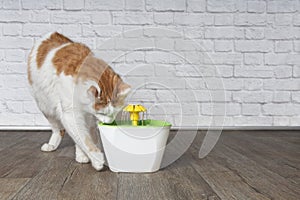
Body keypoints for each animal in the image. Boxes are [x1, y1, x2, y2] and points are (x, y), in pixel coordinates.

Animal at [27, 32, 130, 170]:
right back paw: (52, 145)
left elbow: (84, 136)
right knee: (58, 129)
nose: (109, 123)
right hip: (45, 105)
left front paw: (82, 155)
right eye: (102, 113)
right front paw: (97, 159)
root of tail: (51, 34)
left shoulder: (88, 115)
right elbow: (83, 137)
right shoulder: (70, 114)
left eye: (114, 113)